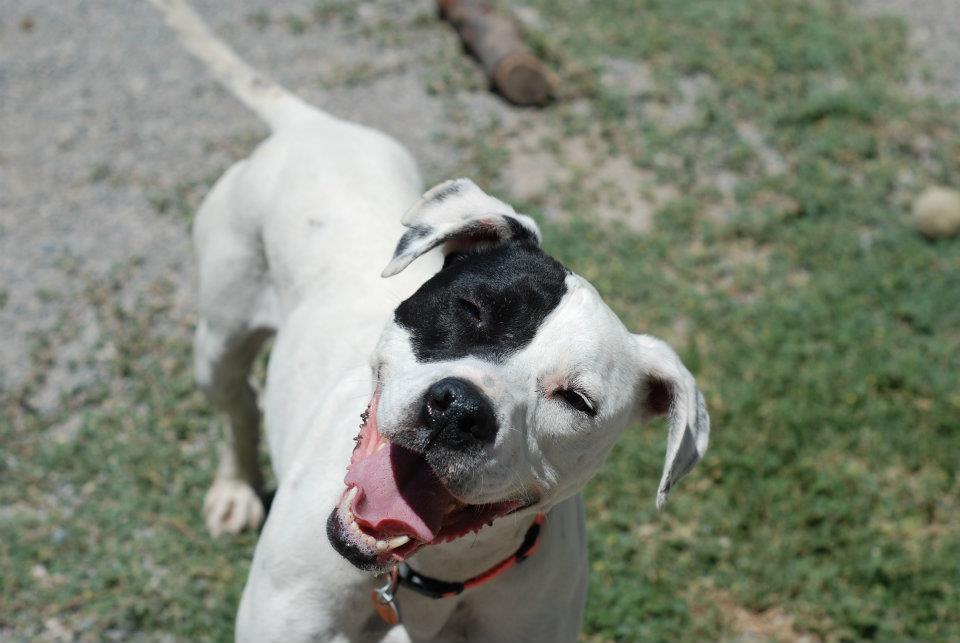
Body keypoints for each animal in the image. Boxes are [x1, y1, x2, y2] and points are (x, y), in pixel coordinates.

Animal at [148, 2, 704, 640]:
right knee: (236, 405)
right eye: (469, 308)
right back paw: (236, 487)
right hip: (219, 336)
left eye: (576, 400)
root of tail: (311, 125)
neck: (425, 576)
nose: (459, 408)